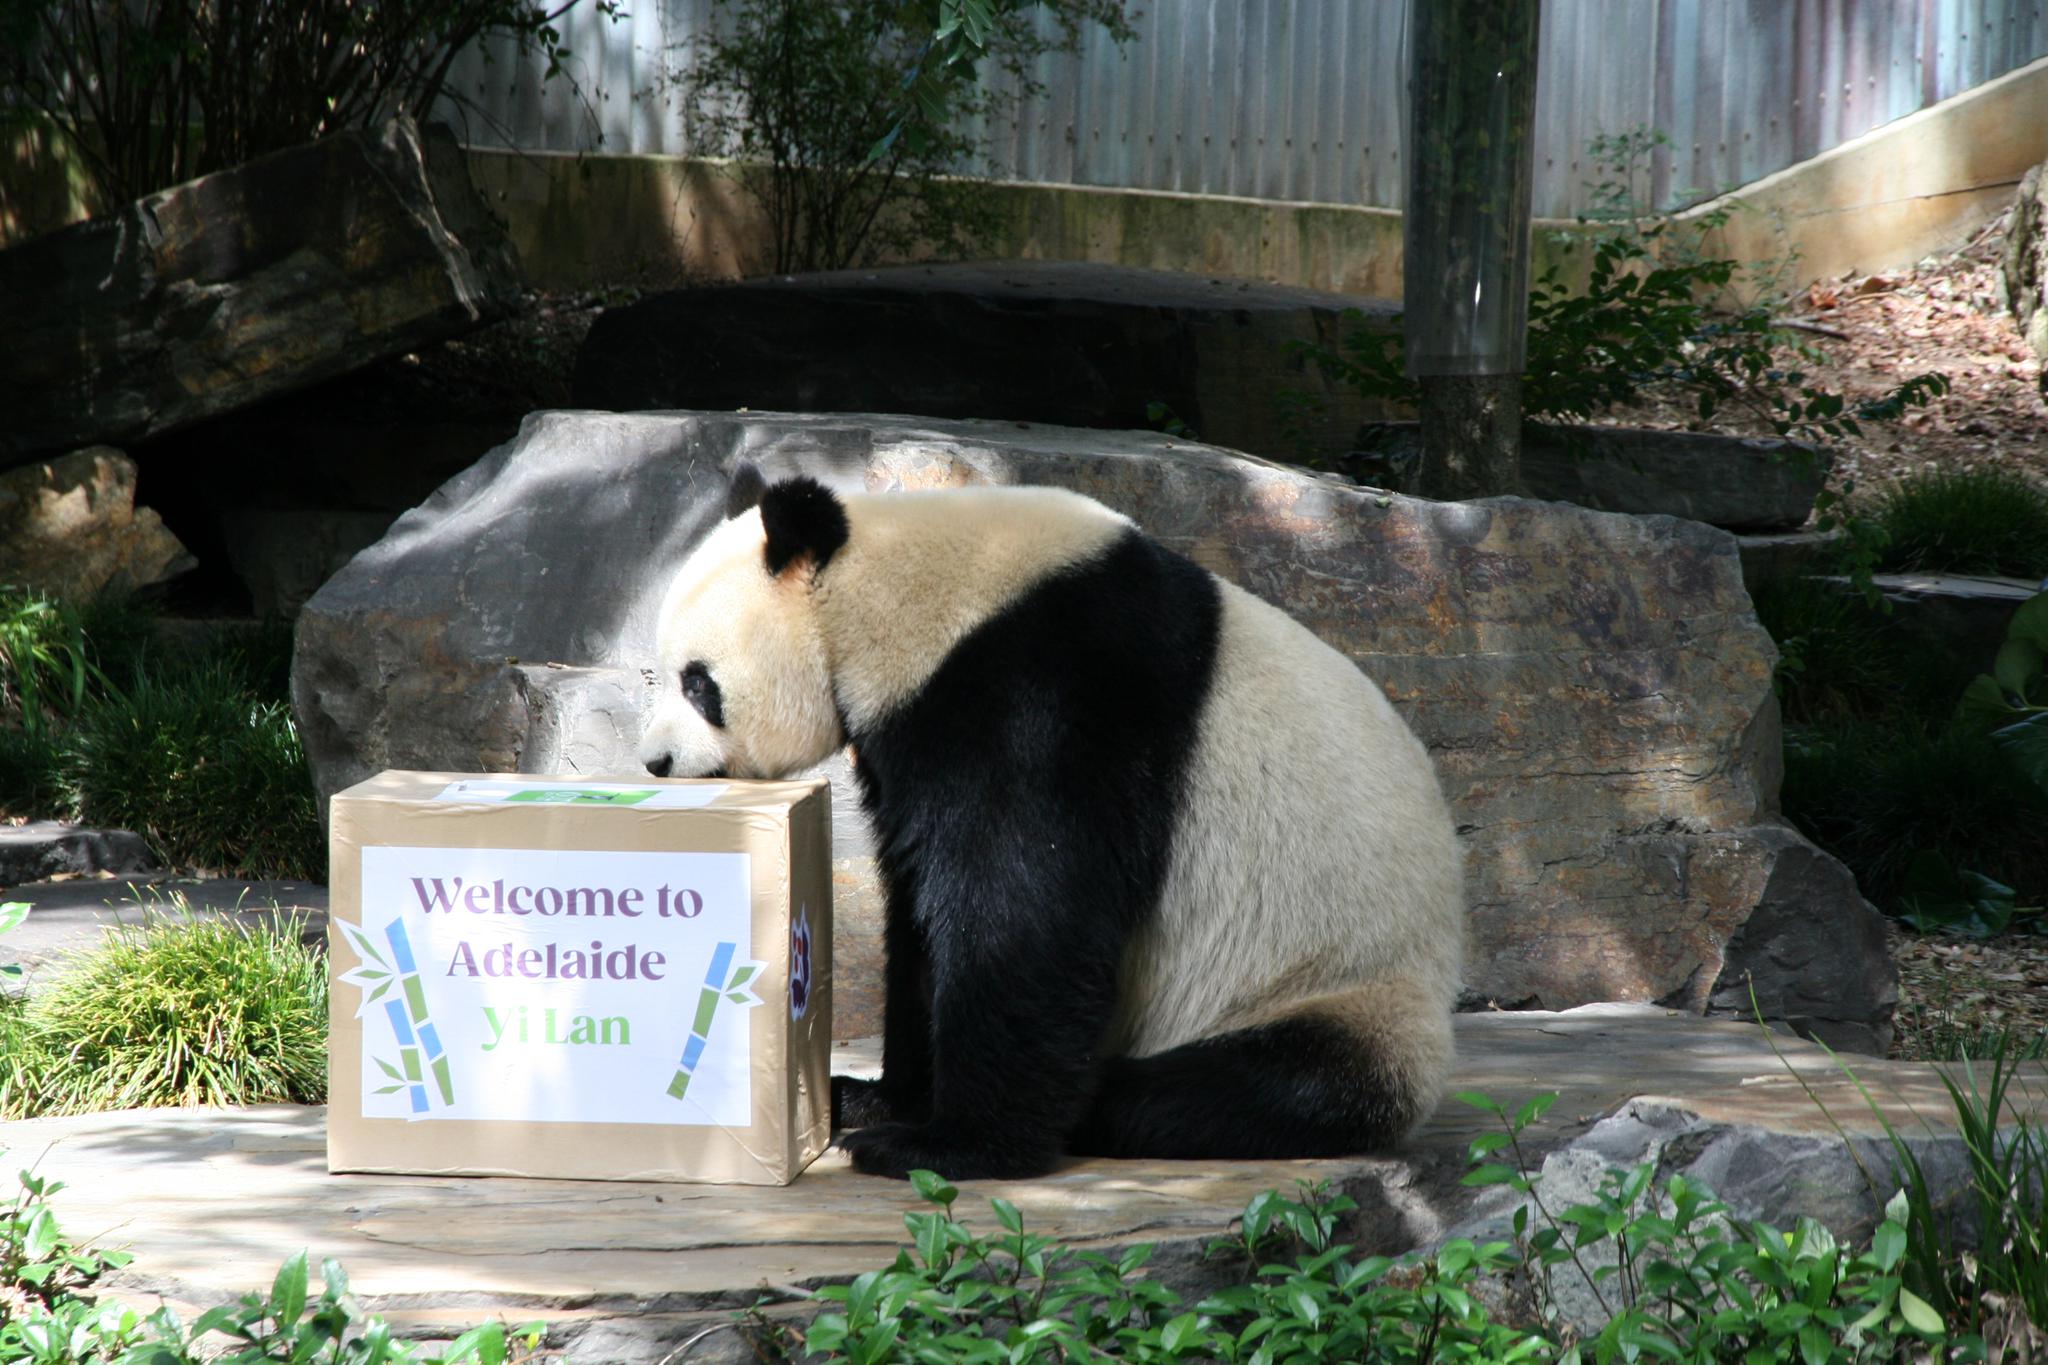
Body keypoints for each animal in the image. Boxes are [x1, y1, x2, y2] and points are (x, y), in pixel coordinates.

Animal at [638, 464, 1458, 1178]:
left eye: (697, 683)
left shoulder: (1043, 693)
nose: (656, 762)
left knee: (1241, 1088)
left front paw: (944, 1144)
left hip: (1330, 984)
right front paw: (881, 1100)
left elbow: (1023, 907)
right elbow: (921, 910)